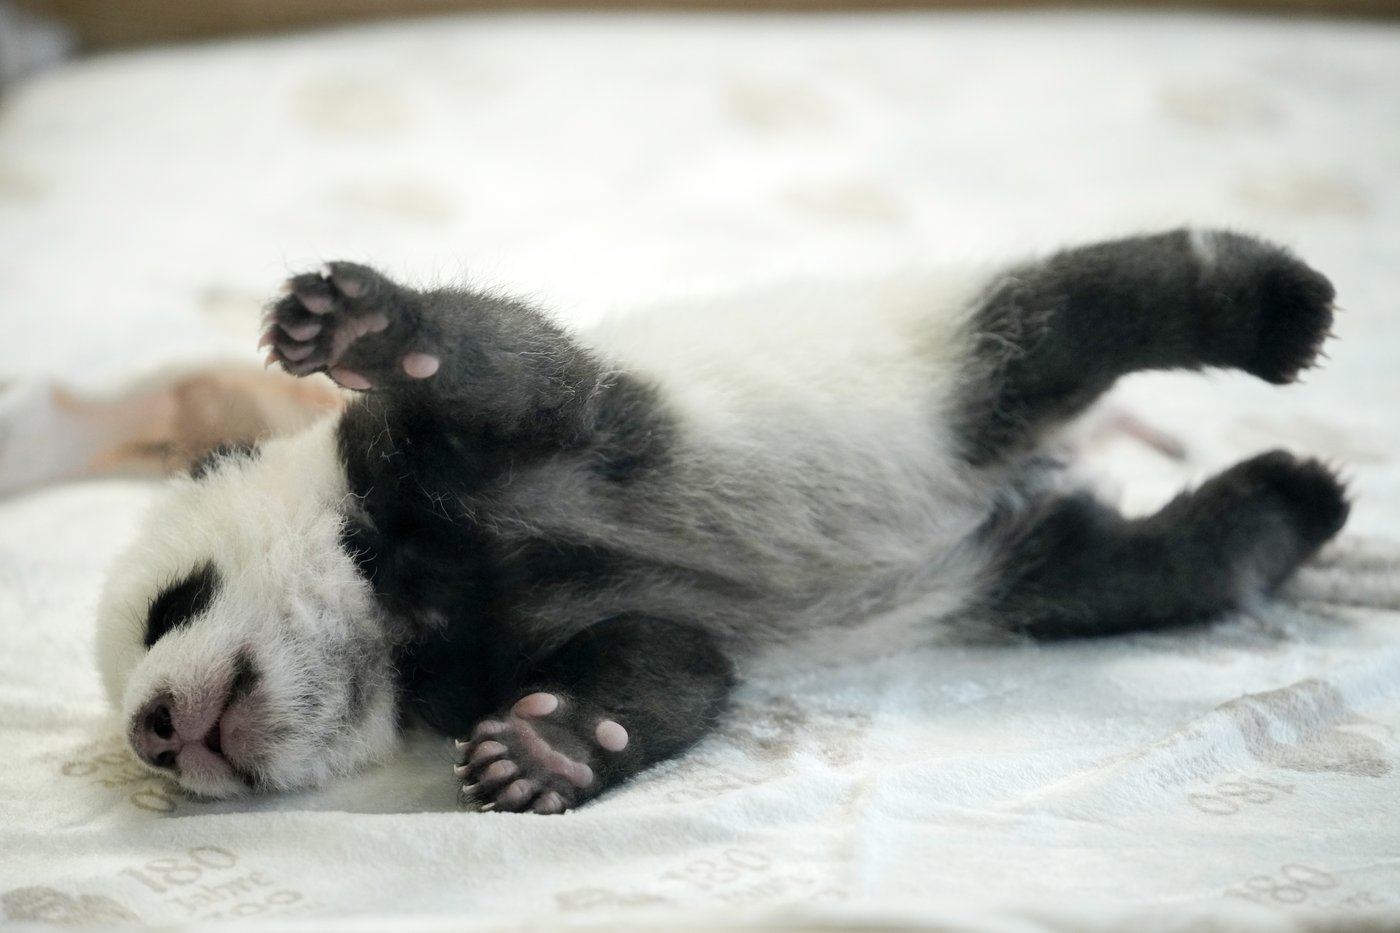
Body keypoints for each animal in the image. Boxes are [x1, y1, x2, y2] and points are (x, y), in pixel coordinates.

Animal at [95, 229, 1349, 814]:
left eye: (171, 606)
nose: (153, 733)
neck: (399, 603)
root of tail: (1045, 465)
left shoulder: (493, 454)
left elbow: (511, 370)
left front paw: (359, 325)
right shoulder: (501, 646)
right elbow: (665, 669)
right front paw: (543, 751)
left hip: (936, 371)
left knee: (1076, 314)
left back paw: (1270, 308)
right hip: (1014, 572)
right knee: (1126, 569)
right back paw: (1281, 507)